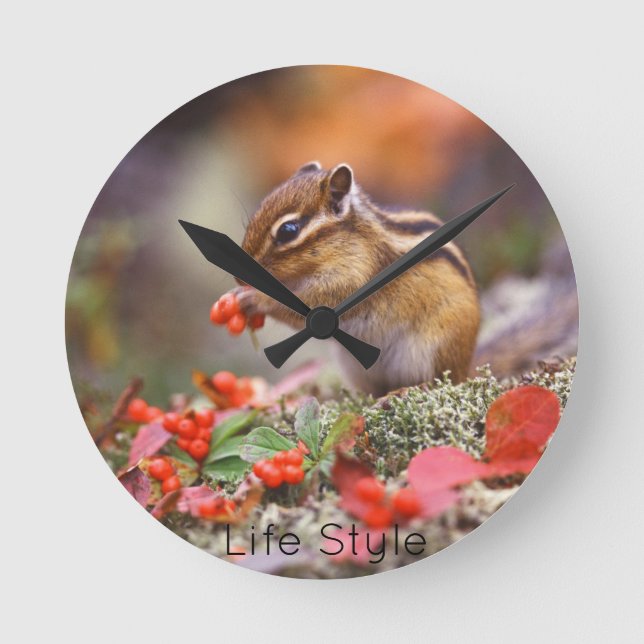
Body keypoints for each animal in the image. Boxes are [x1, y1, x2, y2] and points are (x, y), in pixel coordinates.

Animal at [226, 161, 480, 397]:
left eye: (289, 230)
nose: (238, 280)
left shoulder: (353, 279)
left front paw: (256, 300)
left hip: (434, 348)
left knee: (442, 382)